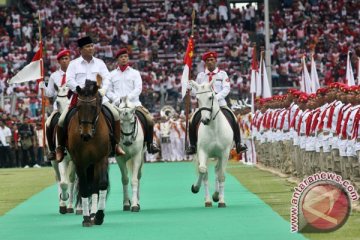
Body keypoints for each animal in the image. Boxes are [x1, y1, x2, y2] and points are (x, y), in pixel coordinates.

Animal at [45, 85, 78, 215]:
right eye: (57, 102)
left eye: (71, 102)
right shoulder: (62, 159)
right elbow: (63, 182)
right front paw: (64, 198)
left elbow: (72, 180)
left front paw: (72, 206)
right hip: (54, 160)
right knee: (59, 178)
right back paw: (62, 205)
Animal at [67, 80, 109, 227]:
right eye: (79, 107)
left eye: (93, 107)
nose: (85, 135)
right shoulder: (79, 162)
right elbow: (84, 188)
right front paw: (85, 218)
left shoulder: (101, 158)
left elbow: (102, 184)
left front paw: (99, 216)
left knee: (95, 187)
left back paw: (93, 214)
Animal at [188, 80, 233, 208]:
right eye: (197, 98)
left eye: (210, 97)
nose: (205, 120)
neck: (214, 128)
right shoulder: (203, 151)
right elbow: (203, 171)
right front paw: (196, 188)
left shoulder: (225, 153)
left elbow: (221, 175)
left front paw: (221, 200)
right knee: (206, 171)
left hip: (220, 156)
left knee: (218, 171)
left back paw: (217, 195)